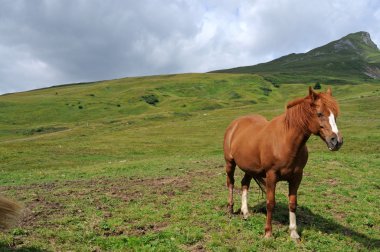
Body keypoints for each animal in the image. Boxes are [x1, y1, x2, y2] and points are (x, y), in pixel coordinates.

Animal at [224, 87, 342, 239]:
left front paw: (294, 233)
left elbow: (292, 204)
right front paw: (268, 233)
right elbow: (270, 203)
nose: (337, 141)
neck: (286, 141)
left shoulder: (296, 177)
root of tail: (235, 124)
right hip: (230, 163)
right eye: (320, 113)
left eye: (335, 114)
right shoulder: (271, 176)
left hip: (249, 167)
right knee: (231, 183)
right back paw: (230, 209)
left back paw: (245, 213)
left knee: (244, 183)